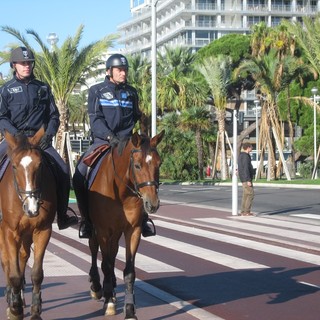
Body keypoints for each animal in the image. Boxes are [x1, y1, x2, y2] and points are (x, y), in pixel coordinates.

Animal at [0, 127, 56, 320]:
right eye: (14, 166)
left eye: (40, 166)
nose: (32, 208)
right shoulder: (9, 232)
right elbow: (13, 272)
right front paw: (15, 309)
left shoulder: (42, 230)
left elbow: (36, 273)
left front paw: (35, 311)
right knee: (7, 262)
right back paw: (12, 298)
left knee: (23, 257)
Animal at [79, 129, 165, 318]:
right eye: (138, 165)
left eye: (159, 164)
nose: (153, 204)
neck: (121, 191)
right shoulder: (103, 230)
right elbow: (106, 264)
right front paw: (109, 302)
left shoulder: (133, 231)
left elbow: (129, 271)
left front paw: (130, 310)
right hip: (96, 230)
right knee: (94, 250)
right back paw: (98, 287)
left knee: (112, 254)